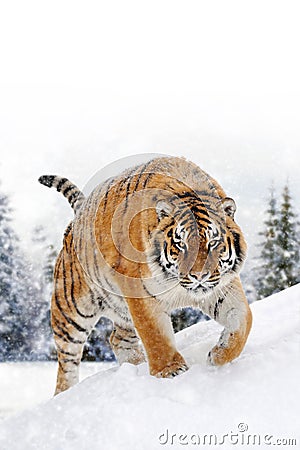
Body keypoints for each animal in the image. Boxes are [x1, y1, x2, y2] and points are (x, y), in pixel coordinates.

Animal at [38, 156, 252, 396]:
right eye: (181, 244)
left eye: (213, 242)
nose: (199, 276)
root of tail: (78, 216)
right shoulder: (140, 294)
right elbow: (155, 336)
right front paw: (170, 371)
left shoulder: (223, 287)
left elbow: (243, 320)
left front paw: (218, 355)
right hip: (71, 312)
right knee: (67, 362)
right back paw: (64, 393)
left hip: (120, 310)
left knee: (117, 339)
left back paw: (135, 367)